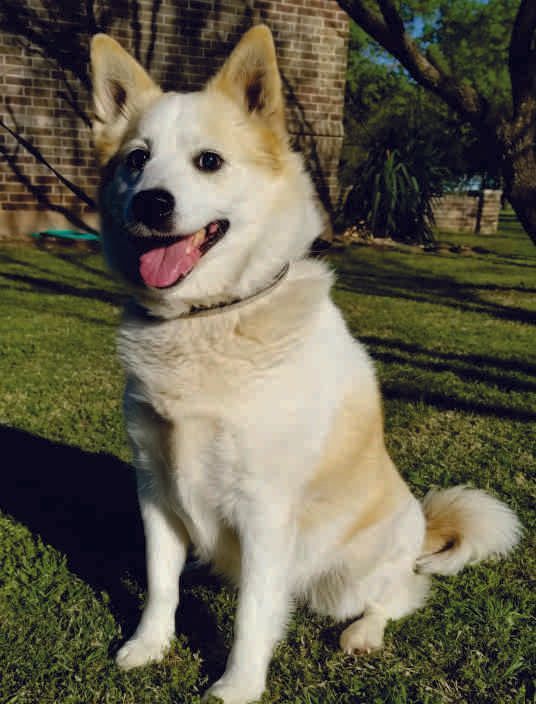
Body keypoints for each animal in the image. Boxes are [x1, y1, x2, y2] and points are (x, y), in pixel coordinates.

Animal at [90, 24, 520, 704]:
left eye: (208, 161)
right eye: (136, 159)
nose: (152, 203)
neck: (207, 319)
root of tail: (422, 525)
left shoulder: (265, 509)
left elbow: (252, 614)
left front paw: (237, 686)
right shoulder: (155, 488)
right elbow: (161, 584)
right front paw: (148, 647)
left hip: (350, 578)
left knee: (402, 593)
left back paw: (364, 632)